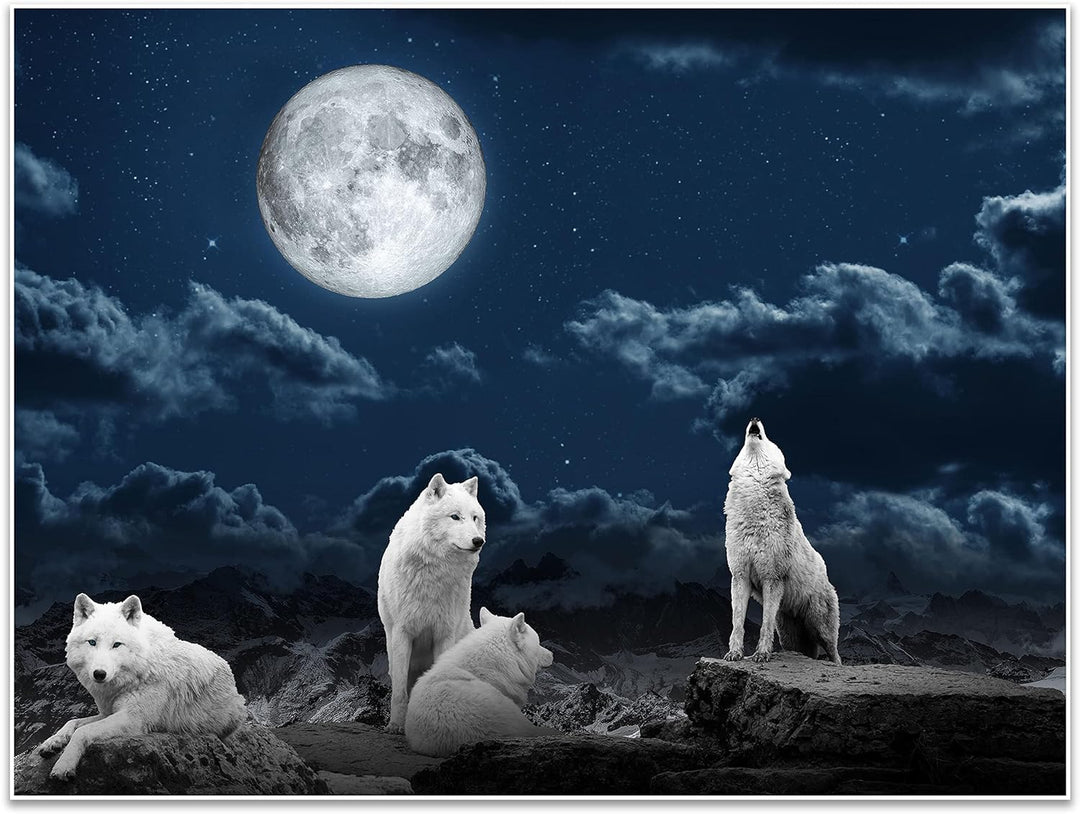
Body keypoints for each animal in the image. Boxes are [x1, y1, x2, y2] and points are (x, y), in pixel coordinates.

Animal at [36, 593, 248, 780]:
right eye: (92, 642)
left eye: (117, 644)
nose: (99, 674)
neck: (142, 667)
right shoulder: (108, 712)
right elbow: (72, 722)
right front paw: (52, 742)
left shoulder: (133, 719)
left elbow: (82, 731)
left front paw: (64, 765)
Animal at [378, 472, 486, 732]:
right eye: (455, 517)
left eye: (474, 518)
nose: (478, 540)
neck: (434, 574)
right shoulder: (402, 633)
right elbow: (399, 692)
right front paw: (395, 725)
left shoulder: (444, 634)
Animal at [723, 418, 842, 664]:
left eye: (770, 441)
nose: (755, 418)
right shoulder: (739, 577)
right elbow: (737, 623)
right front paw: (735, 653)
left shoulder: (772, 578)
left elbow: (764, 625)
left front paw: (762, 654)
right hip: (791, 636)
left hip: (821, 627)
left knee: (835, 653)